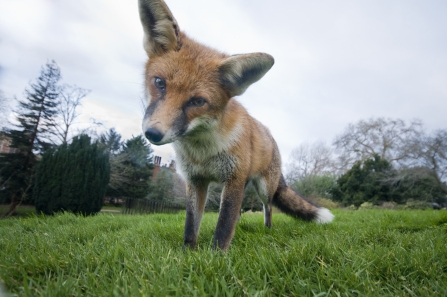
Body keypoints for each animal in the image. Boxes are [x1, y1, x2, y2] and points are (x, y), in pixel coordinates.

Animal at [139, 0, 332, 250]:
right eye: (159, 83)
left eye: (197, 101)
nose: (153, 133)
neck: (203, 152)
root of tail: (271, 137)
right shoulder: (196, 181)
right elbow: (191, 225)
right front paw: (188, 252)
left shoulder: (233, 179)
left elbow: (223, 227)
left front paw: (216, 256)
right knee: (240, 213)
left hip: (263, 188)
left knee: (268, 207)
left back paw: (267, 230)